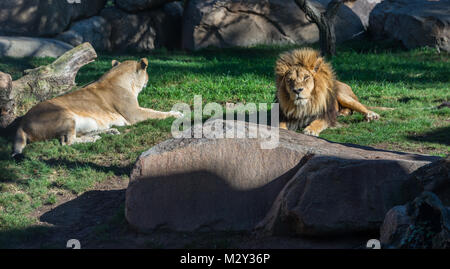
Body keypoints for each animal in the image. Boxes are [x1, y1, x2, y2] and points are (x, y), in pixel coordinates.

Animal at [12, 57, 181, 156]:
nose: (148, 80)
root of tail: (21, 124)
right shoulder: (134, 114)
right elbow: (157, 113)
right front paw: (177, 114)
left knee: (77, 136)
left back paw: (109, 131)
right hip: (65, 115)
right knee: (67, 142)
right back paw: (95, 138)